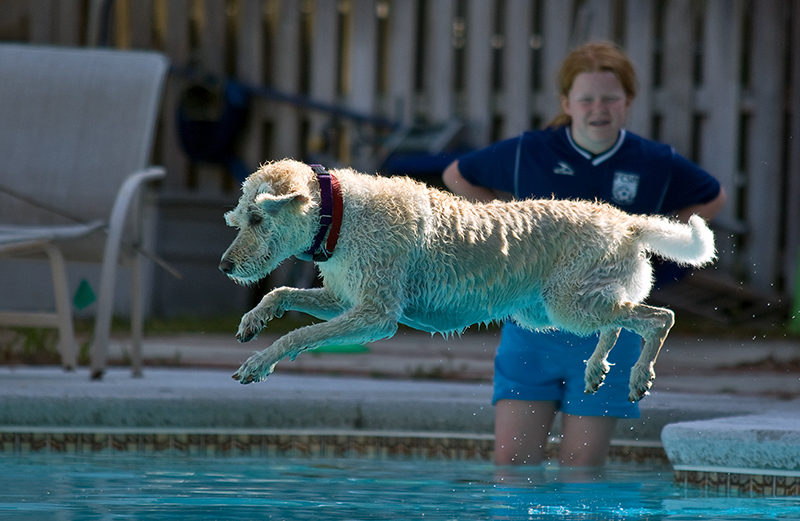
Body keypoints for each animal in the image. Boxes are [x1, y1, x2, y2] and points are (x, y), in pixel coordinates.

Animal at [220, 158, 720, 402]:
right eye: (238, 220)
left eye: (259, 219)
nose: (225, 266)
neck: (338, 211)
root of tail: (627, 223)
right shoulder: (346, 298)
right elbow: (283, 293)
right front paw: (253, 321)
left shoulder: (375, 315)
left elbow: (298, 336)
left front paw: (258, 364)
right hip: (558, 307)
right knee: (619, 322)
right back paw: (596, 370)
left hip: (568, 302)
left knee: (657, 318)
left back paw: (638, 378)